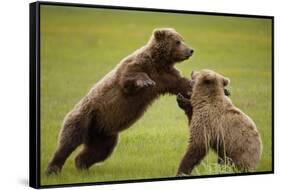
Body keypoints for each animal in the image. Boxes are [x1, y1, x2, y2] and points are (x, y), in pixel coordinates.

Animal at [46, 27, 195, 174]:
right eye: (177, 41)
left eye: (182, 39)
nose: (190, 50)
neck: (159, 62)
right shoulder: (139, 65)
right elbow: (129, 78)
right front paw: (145, 82)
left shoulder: (166, 77)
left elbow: (183, 84)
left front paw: (191, 88)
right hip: (85, 116)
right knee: (69, 140)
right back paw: (53, 168)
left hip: (103, 132)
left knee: (100, 150)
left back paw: (82, 165)